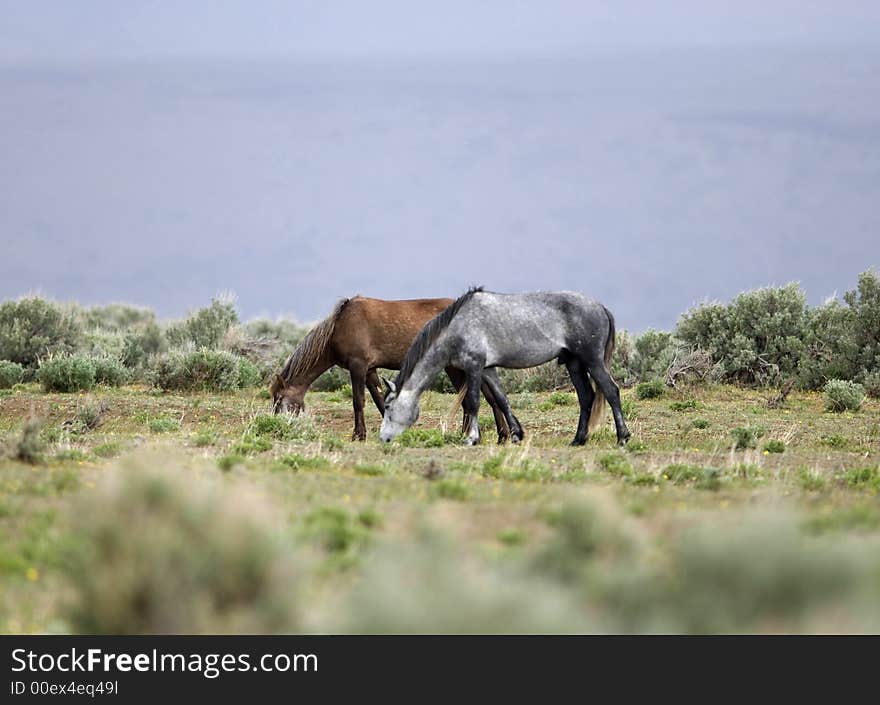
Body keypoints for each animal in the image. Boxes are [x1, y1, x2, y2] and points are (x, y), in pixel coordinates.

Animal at [268, 296, 516, 440]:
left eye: (279, 399)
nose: (278, 425)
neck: (341, 325)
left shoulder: (358, 366)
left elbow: (358, 401)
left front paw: (359, 435)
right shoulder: (370, 370)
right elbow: (379, 400)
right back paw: (494, 434)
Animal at [382, 288, 628, 446]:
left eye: (387, 407)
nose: (383, 439)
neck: (458, 326)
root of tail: (601, 307)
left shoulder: (474, 367)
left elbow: (473, 401)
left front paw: (472, 438)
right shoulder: (488, 370)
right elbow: (502, 399)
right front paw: (517, 435)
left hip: (592, 361)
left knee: (611, 391)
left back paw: (623, 438)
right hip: (575, 364)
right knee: (586, 397)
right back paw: (578, 440)